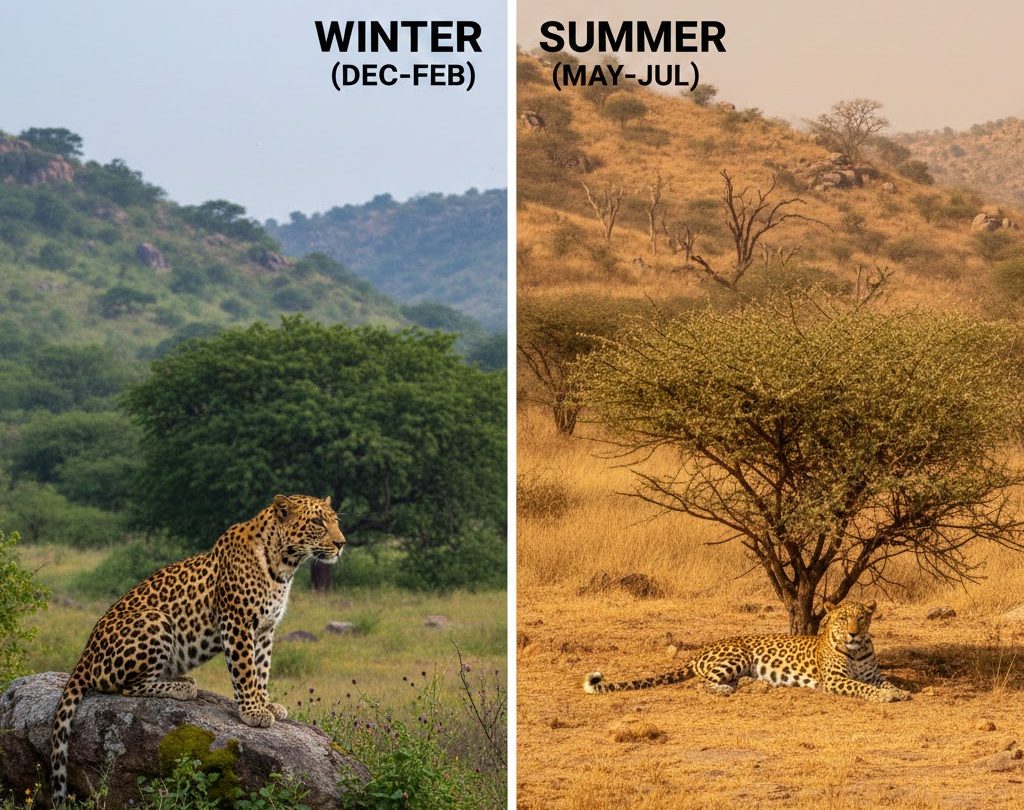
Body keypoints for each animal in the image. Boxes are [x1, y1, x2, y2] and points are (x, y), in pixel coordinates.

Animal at [50, 494, 345, 805]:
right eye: (318, 522)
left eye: (335, 521)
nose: (342, 543)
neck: (284, 564)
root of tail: (85, 655)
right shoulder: (237, 622)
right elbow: (245, 671)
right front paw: (253, 712)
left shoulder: (265, 630)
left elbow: (262, 669)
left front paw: (265, 704)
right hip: (156, 620)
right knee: (128, 687)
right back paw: (183, 687)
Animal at [583, 599, 911, 703]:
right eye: (843, 619)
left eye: (862, 618)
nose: (854, 632)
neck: (856, 650)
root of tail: (702, 650)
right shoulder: (833, 680)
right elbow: (861, 687)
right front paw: (885, 697)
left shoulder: (873, 673)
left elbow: (884, 682)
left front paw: (900, 691)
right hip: (736, 655)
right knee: (701, 682)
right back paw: (726, 689)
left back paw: (753, 683)